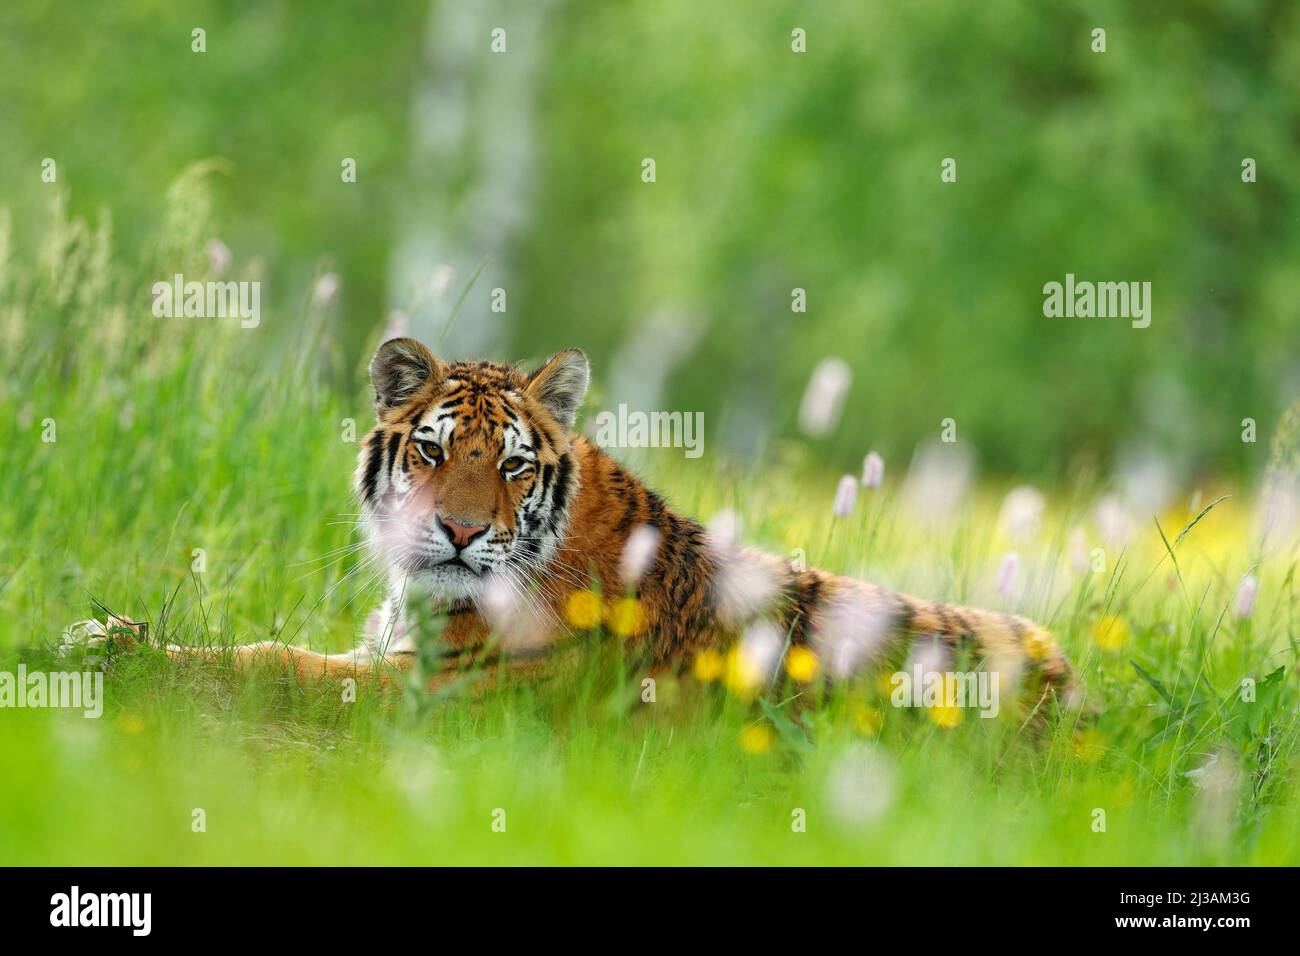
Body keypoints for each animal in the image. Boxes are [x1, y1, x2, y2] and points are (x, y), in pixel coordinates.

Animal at [66, 337, 1075, 712]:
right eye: (433, 452)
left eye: (511, 465)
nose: (461, 533)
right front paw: (112, 630)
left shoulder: (430, 692)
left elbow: (271, 663)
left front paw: (115, 647)